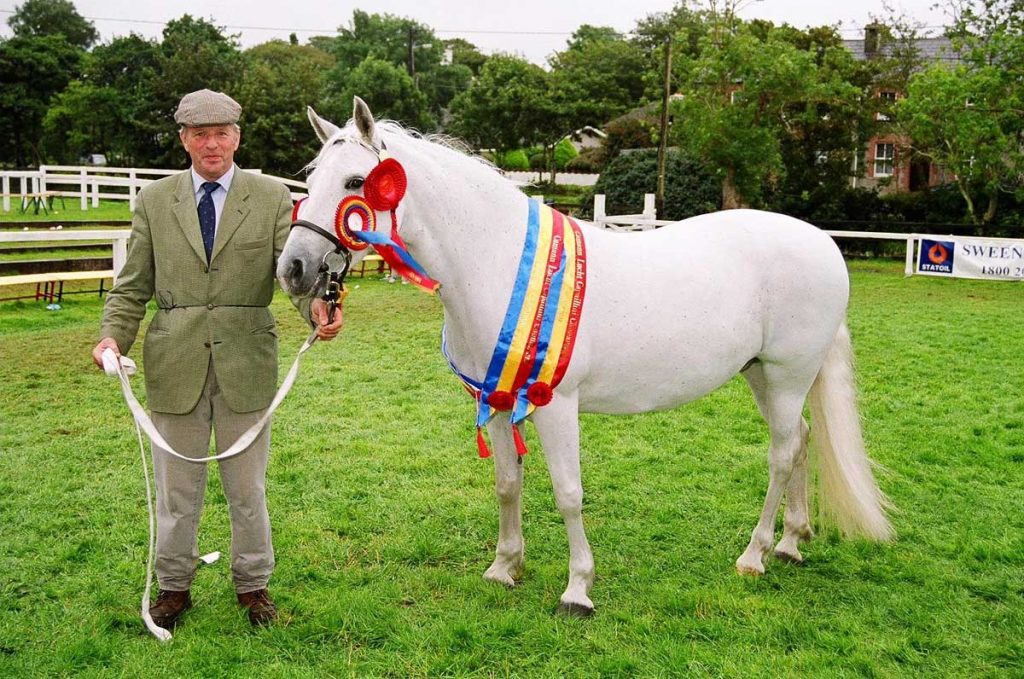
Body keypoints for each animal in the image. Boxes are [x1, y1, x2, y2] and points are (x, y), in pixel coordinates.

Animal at [277, 97, 894, 616]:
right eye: (311, 179)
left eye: (357, 182)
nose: (294, 269)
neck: (498, 261)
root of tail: (821, 242)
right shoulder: (495, 400)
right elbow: (507, 484)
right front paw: (504, 568)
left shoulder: (555, 405)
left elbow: (569, 494)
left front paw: (578, 588)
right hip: (764, 377)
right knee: (803, 441)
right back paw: (791, 542)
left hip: (788, 377)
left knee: (783, 454)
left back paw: (755, 554)